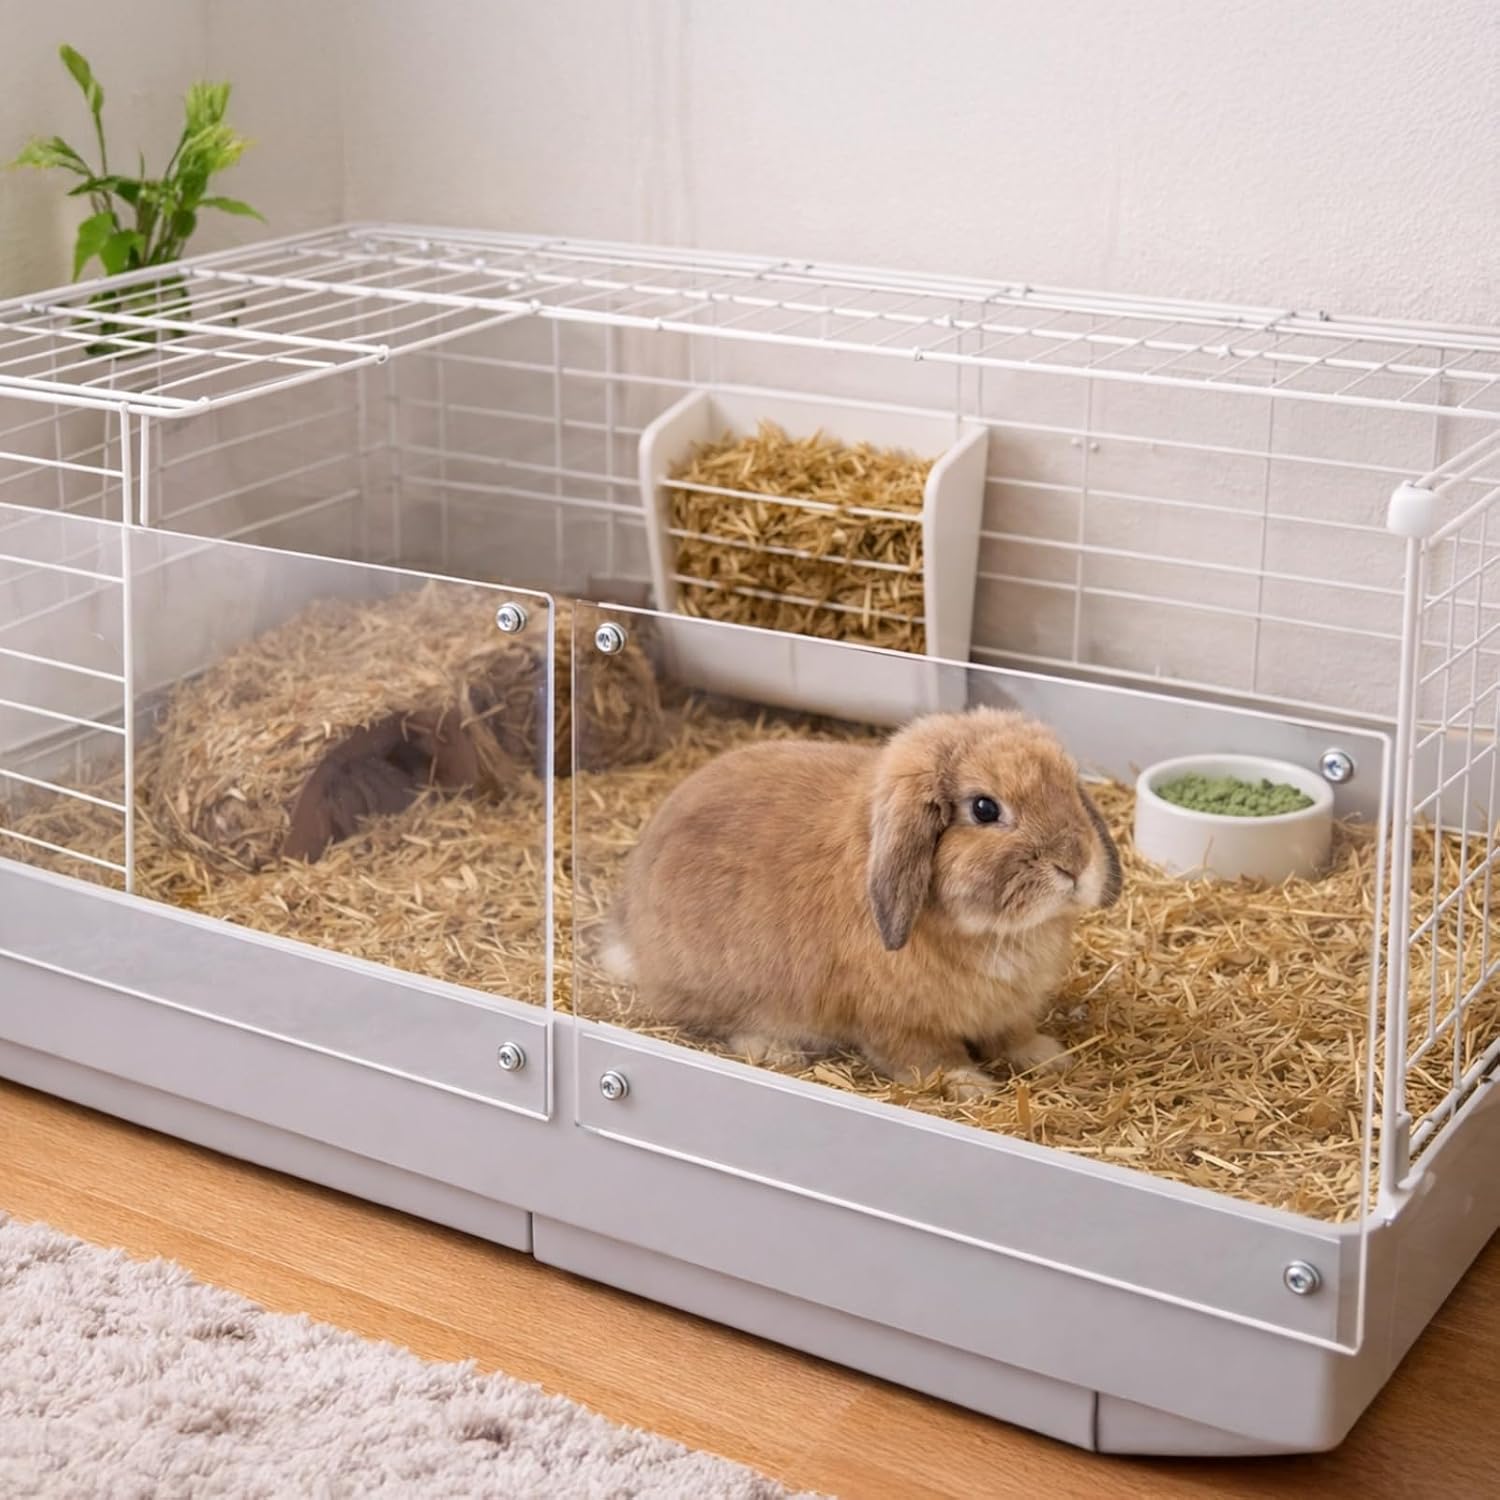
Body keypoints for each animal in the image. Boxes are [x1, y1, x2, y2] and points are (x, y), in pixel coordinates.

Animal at [603, 707, 1122, 1101]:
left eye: (1069, 787)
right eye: (984, 808)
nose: (1075, 864)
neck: (987, 932)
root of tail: (630, 930)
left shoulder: (1007, 1013)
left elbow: (1014, 1036)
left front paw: (1049, 1057)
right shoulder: (901, 1027)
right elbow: (932, 1060)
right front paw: (972, 1086)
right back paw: (777, 1050)